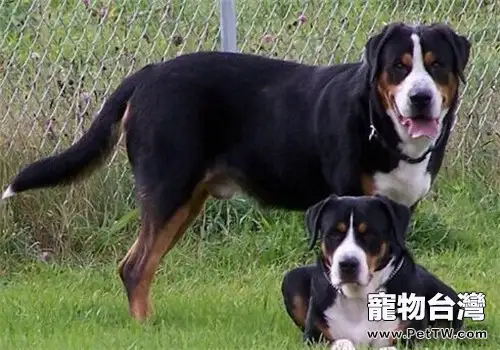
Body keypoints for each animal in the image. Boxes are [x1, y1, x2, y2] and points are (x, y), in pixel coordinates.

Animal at [0, 23, 468, 322]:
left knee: (138, 265)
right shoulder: (347, 208)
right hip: (168, 189)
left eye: (436, 65)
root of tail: (149, 73)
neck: (381, 126)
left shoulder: (397, 214)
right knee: (135, 267)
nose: (421, 98)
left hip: (186, 201)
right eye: (399, 66)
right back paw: (145, 329)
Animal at [282, 194, 460, 348]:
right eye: (334, 234)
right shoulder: (314, 338)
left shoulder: (407, 338)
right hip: (291, 279)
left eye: (368, 234)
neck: (359, 297)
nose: (347, 264)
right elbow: (342, 341)